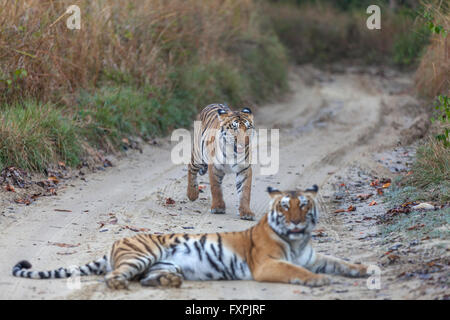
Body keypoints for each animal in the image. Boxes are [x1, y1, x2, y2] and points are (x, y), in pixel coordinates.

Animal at [12, 184, 370, 288]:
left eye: (303, 206)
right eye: (285, 207)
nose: (295, 222)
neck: (297, 241)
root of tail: (117, 240)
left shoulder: (315, 256)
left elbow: (339, 261)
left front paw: (365, 269)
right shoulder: (267, 265)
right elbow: (297, 270)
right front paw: (318, 280)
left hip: (164, 263)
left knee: (145, 278)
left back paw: (169, 282)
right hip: (142, 254)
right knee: (114, 277)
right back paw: (120, 286)